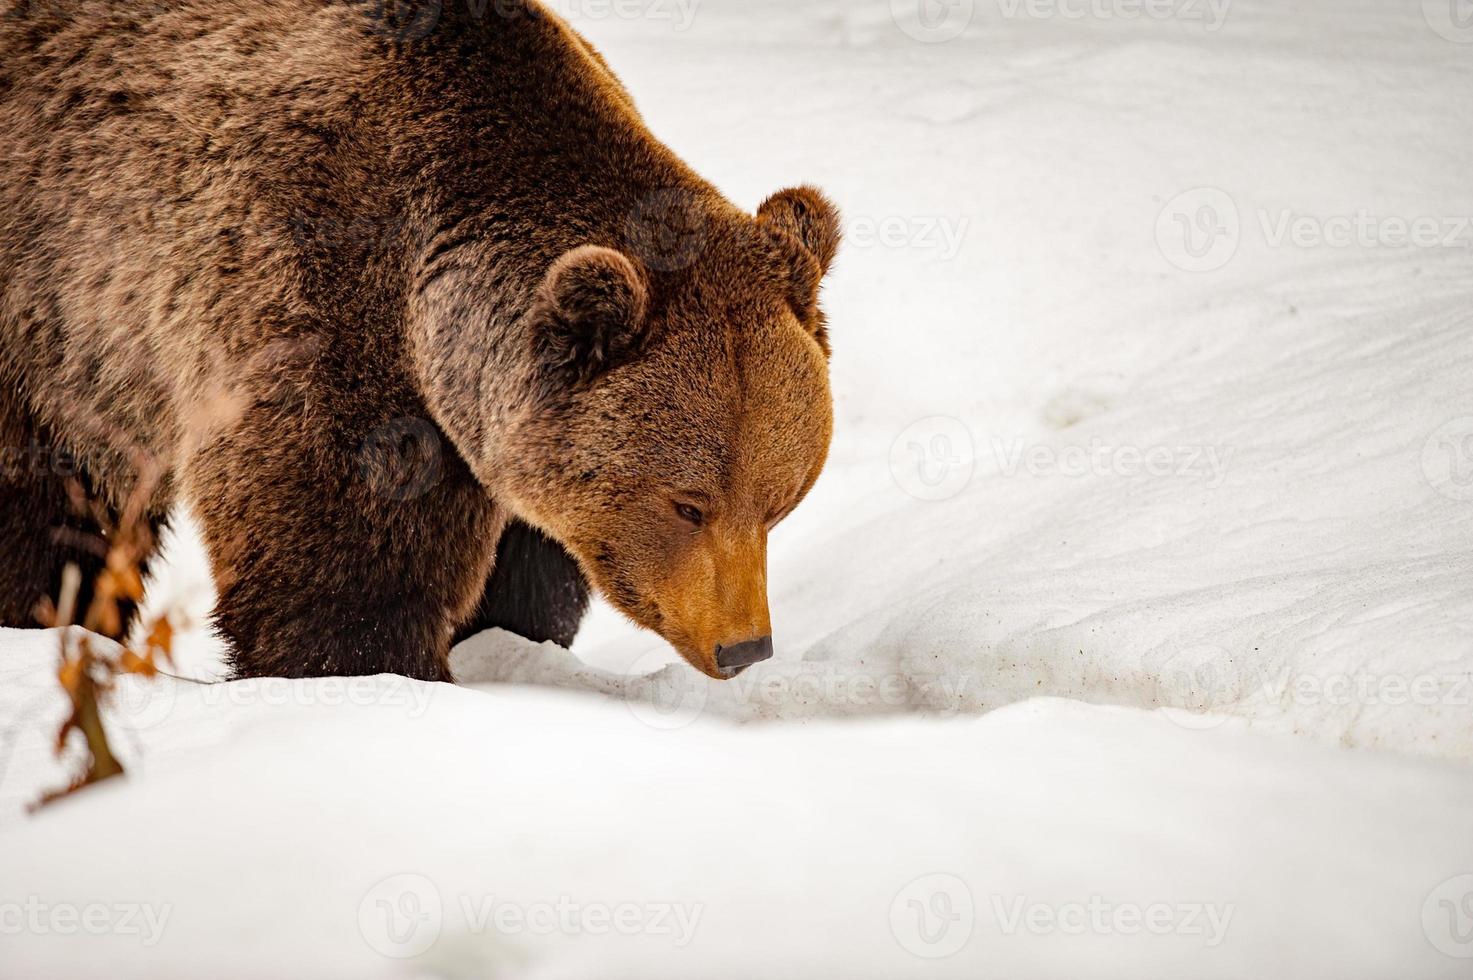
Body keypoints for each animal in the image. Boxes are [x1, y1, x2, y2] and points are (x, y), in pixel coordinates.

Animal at [0, 0, 842, 680]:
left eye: (778, 504)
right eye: (687, 504)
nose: (743, 648)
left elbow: (529, 574)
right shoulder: (310, 303)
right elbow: (340, 560)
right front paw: (369, 668)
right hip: (54, 315)